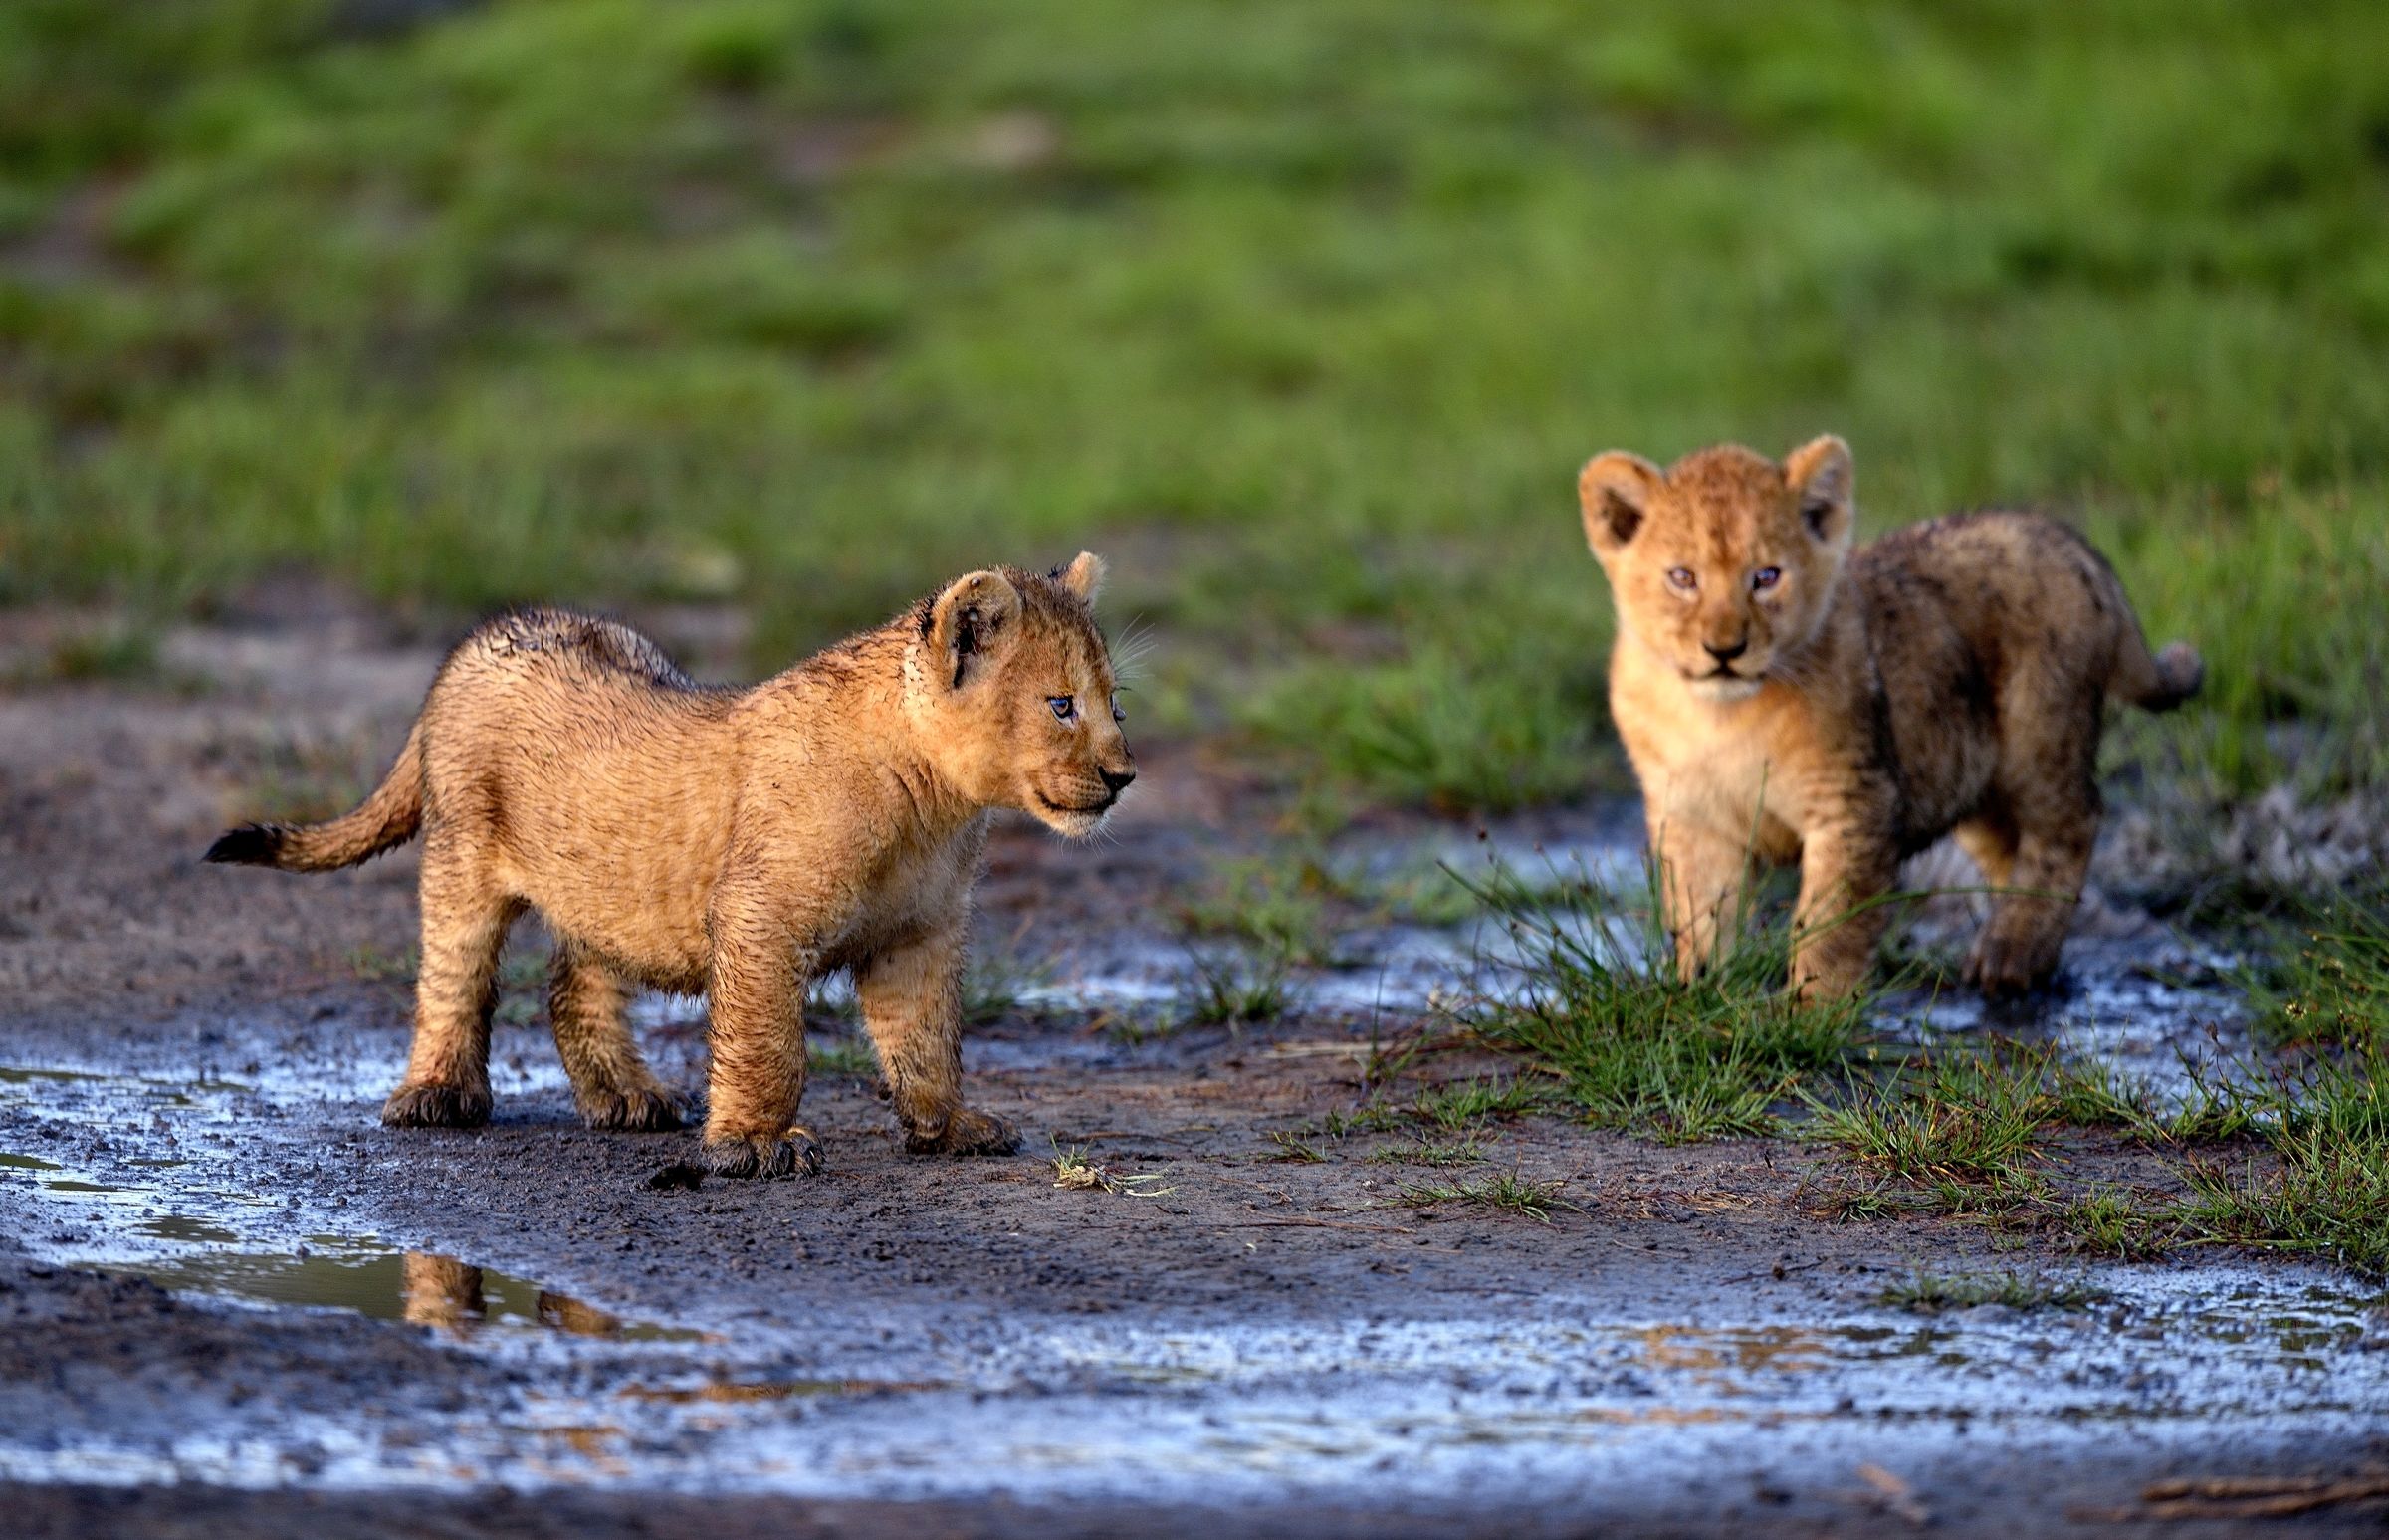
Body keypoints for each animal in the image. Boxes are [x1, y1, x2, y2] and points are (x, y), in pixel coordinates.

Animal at [206, 555, 1135, 1177]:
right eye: (1061, 704)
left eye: (1114, 704)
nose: (1124, 775)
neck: (934, 802)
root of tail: (471, 644)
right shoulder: (761, 915)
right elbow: (770, 1043)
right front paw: (755, 1145)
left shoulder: (919, 933)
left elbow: (930, 1036)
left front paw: (949, 1126)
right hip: (463, 848)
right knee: (453, 973)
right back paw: (437, 1097)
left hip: (609, 884)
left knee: (571, 981)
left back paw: (627, 1098)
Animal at [1577, 438, 2201, 999]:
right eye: (1682, 578)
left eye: (1766, 577)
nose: (1725, 650)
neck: (1720, 716)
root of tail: (2071, 544)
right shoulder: (1693, 816)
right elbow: (1701, 917)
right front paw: (1701, 995)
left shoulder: (1853, 805)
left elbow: (1830, 925)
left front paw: (1810, 1016)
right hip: (1969, 772)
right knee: (2012, 848)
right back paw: (2021, 949)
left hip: (2040, 736)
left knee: (2070, 826)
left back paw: (2012, 954)